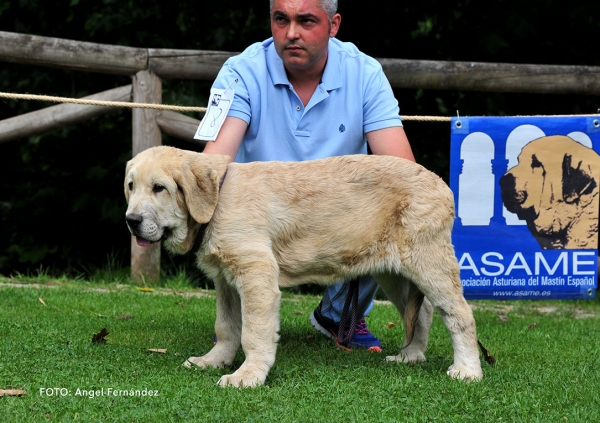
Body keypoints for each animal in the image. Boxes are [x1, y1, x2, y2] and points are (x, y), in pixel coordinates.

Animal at [123, 146, 482, 388]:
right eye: (130, 186)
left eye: (159, 188)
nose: (131, 221)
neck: (218, 199)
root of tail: (441, 184)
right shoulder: (226, 280)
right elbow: (227, 327)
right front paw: (214, 361)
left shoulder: (256, 273)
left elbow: (253, 332)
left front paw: (248, 375)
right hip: (393, 272)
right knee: (421, 312)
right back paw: (411, 355)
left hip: (430, 261)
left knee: (459, 315)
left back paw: (467, 370)